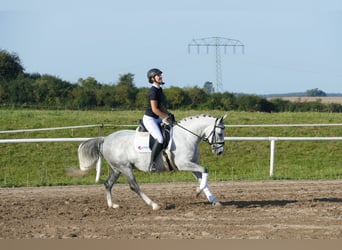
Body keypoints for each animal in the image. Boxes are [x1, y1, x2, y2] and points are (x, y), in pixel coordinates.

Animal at [77, 114, 227, 210]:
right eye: (219, 133)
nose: (220, 152)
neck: (186, 136)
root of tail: (105, 139)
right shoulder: (184, 164)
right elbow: (205, 170)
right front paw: (197, 191)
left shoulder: (192, 163)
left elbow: (202, 178)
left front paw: (214, 201)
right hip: (125, 168)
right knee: (134, 186)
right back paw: (154, 205)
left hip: (117, 169)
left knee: (108, 184)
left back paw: (112, 205)